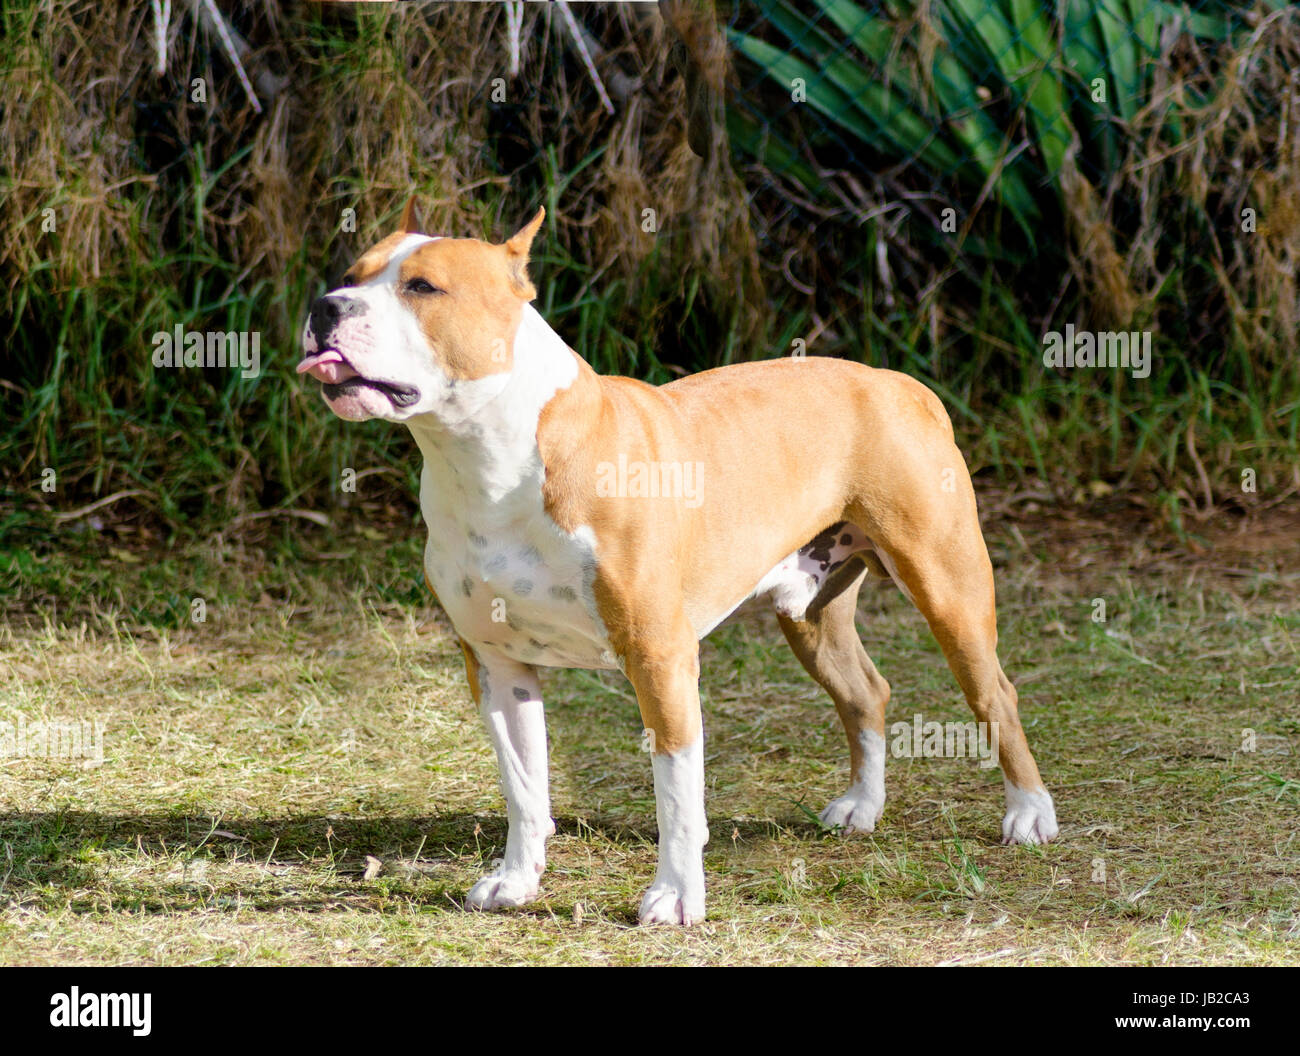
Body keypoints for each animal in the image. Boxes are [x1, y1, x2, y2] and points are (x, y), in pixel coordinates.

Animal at [297, 200, 1055, 925]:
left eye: (422, 287)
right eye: (351, 273)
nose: (325, 306)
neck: (486, 462)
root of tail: (901, 383)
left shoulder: (659, 658)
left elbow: (677, 797)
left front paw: (676, 898)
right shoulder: (496, 663)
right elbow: (524, 787)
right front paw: (515, 881)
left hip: (948, 589)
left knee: (996, 694)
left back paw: (1028, 813)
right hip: (812, 613)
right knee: (865, 692)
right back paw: (862, 807)